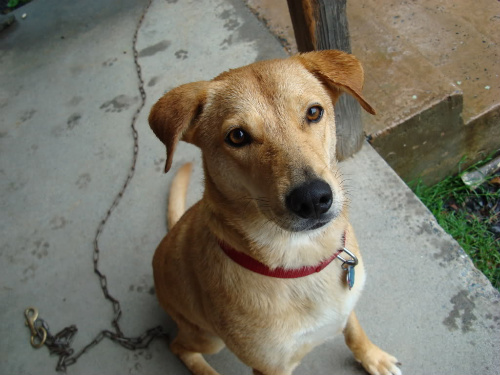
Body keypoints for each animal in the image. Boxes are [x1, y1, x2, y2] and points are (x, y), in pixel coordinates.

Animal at [146, 50, 400, 375]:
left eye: (314, 112)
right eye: (237, 136)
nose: (313, 199)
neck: (305, 261)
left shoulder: (347, 305)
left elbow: (354, 330)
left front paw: (372, 357)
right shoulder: (271, 367)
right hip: (208, 338)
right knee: (178, 346)